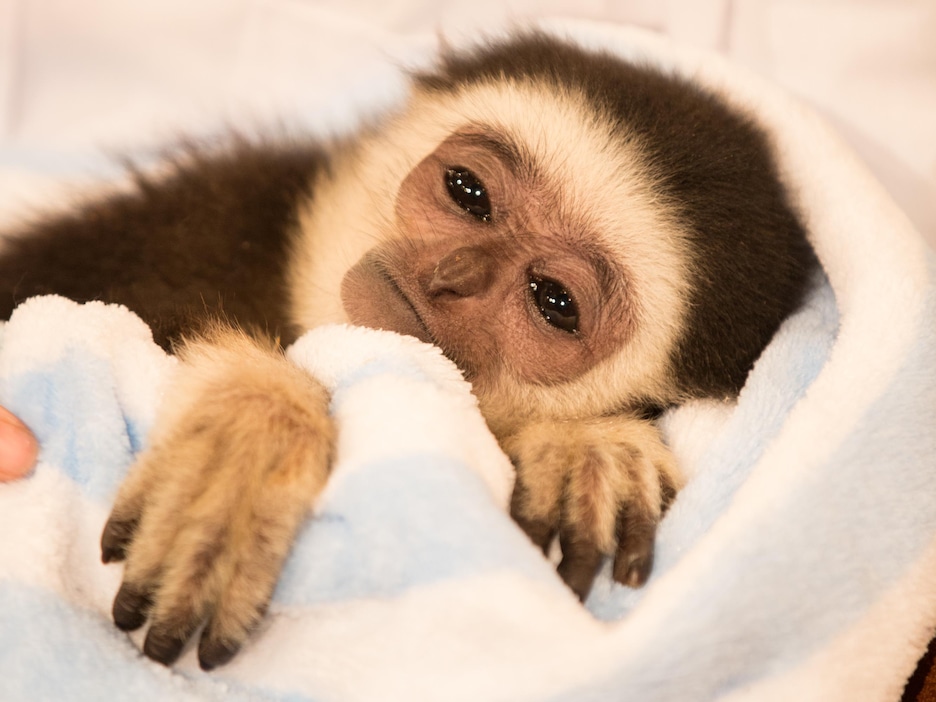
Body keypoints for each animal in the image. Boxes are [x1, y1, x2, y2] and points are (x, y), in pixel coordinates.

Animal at [0, 33, 812, 672]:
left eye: (554, 301)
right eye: (468, 192)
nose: (451, 276)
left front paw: (590, 445)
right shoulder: (202, 211)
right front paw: (257, 424)